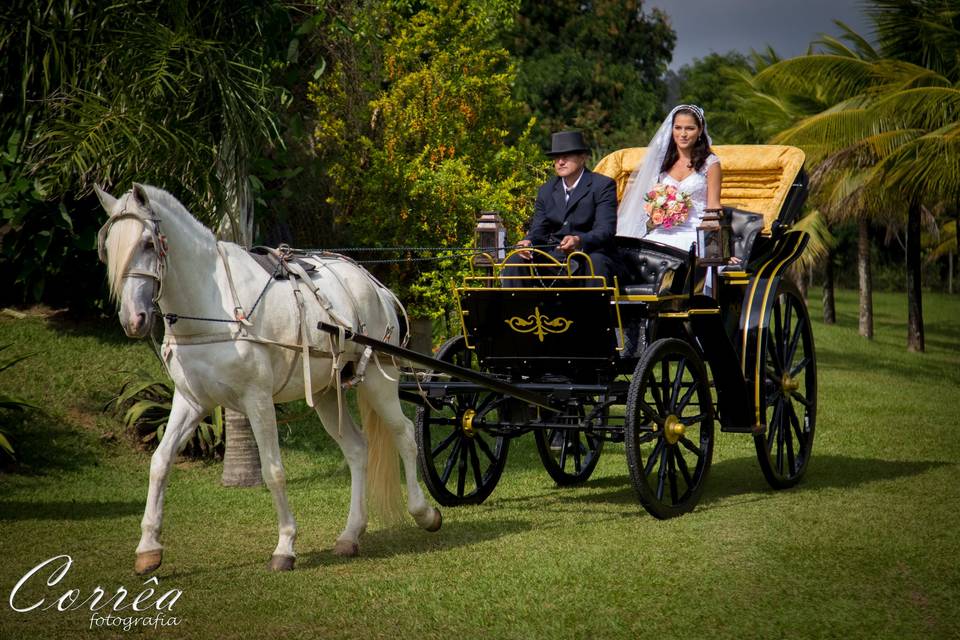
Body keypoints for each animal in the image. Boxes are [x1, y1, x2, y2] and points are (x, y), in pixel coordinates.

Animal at [95, 182, 440, 572]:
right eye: (108, 249)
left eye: (147, 244)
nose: (133, 319)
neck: (214, 307)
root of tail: (375, 286)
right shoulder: (191, 400)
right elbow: (160, 462)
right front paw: (148, 548)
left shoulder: (257, 400)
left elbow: (273, 470)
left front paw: (285, 546)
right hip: (326, 392)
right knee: (356, 449)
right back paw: (350, 534)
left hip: (381, 381)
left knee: (404, 435)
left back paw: (424, 512)